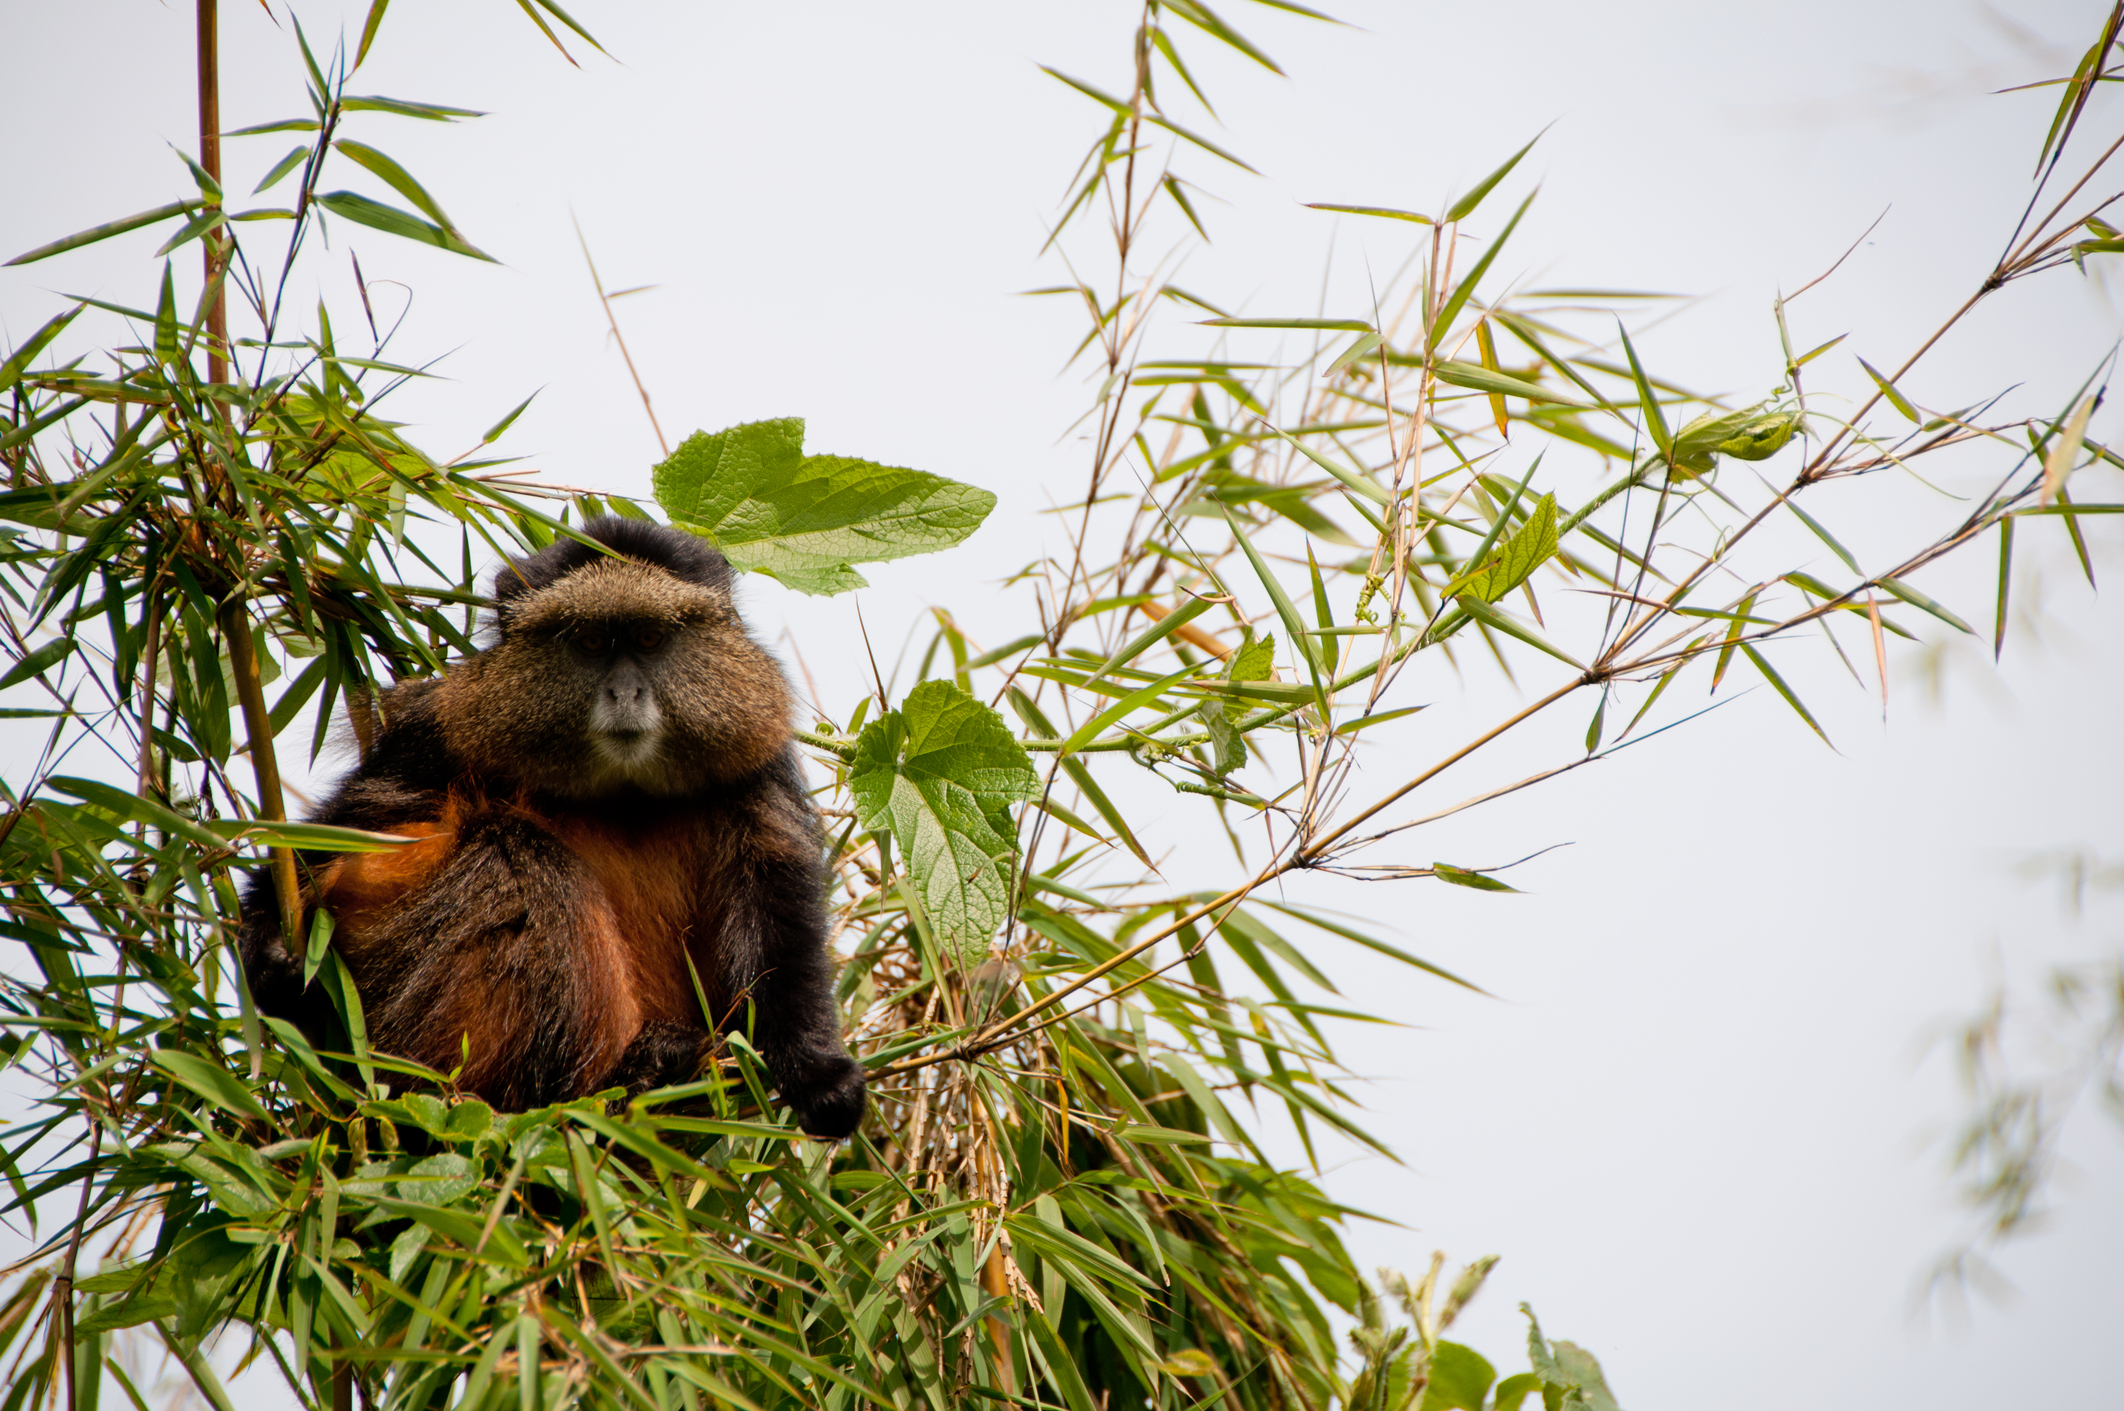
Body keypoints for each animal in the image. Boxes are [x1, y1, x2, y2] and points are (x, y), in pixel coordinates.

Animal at [238, 517, 867, 1139]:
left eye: (647, 639)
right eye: (589, 642)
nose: (625, 692)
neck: (622, 793)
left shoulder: (756, 760)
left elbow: (775, 907)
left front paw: (819, 1075)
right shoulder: (439, 732)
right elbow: (348, 826)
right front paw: (271, 948)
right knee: (511, 853)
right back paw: (620, 1078)